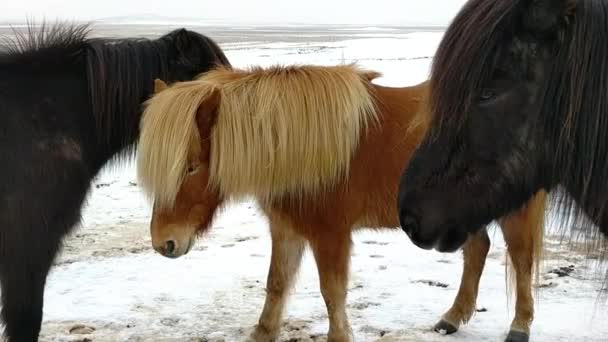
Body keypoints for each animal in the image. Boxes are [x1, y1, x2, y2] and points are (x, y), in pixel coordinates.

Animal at [137, 65, 548, 342]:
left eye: (191, 166)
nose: (164, 243)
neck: (291, 147)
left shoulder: (330, 234)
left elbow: (332, 292)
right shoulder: (286, 229)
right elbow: (276, 283)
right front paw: (263, 332)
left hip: (515, 212)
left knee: (521, 260)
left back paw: (519, 326)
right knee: (478, 249)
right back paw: (451, 318)